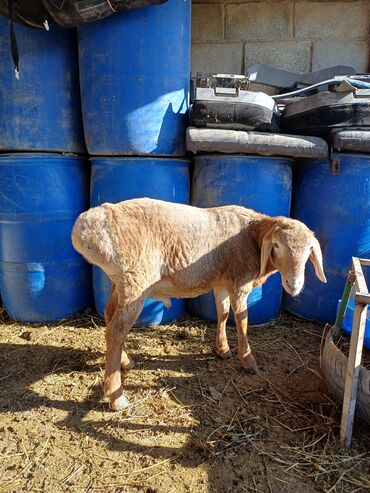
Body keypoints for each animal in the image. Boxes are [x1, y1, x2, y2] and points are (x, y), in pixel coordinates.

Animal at [71, 198, 326, 410]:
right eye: (277, 246)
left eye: (309, 250)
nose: (294, 285)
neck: (252, 235)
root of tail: (90, 223)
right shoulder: (240, 284)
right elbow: (242, 322)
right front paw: (248, 361)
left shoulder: (221, 283)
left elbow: (222, 314)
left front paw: (223, 350)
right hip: (136, 280)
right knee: (116, 332)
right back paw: (117, 398)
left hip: (119, 282)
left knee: (109, 316)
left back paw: (125, 362)